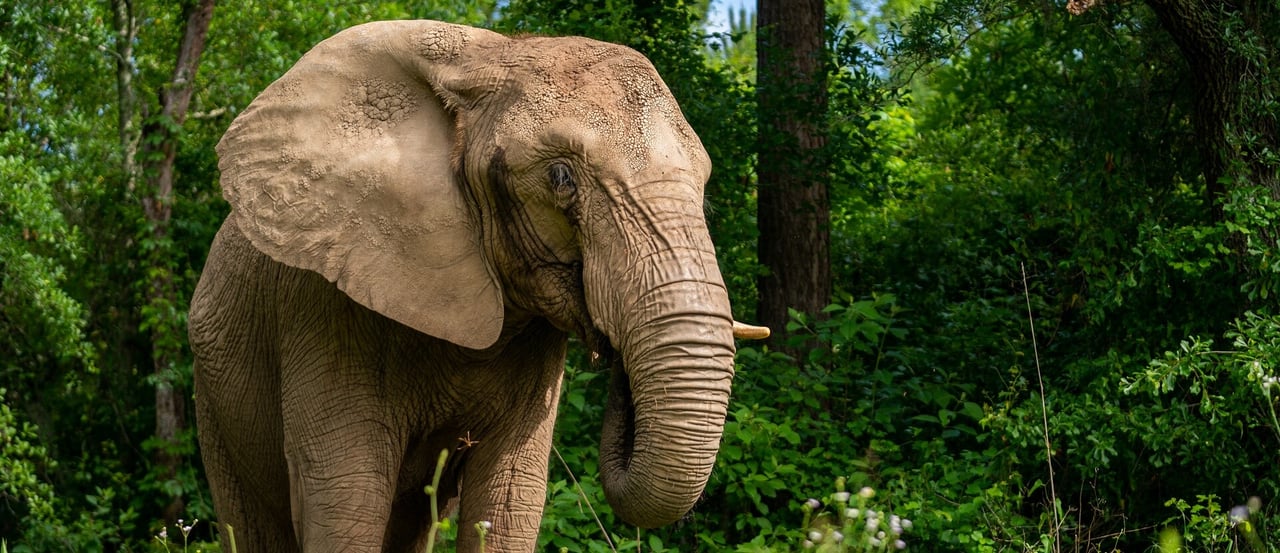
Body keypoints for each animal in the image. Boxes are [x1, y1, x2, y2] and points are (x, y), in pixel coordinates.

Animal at [188, 19, 762, 550]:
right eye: (560, 178)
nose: (614, 353)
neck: (490, 56)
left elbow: (510, 499)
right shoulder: (323, 308)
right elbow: (347, 501)